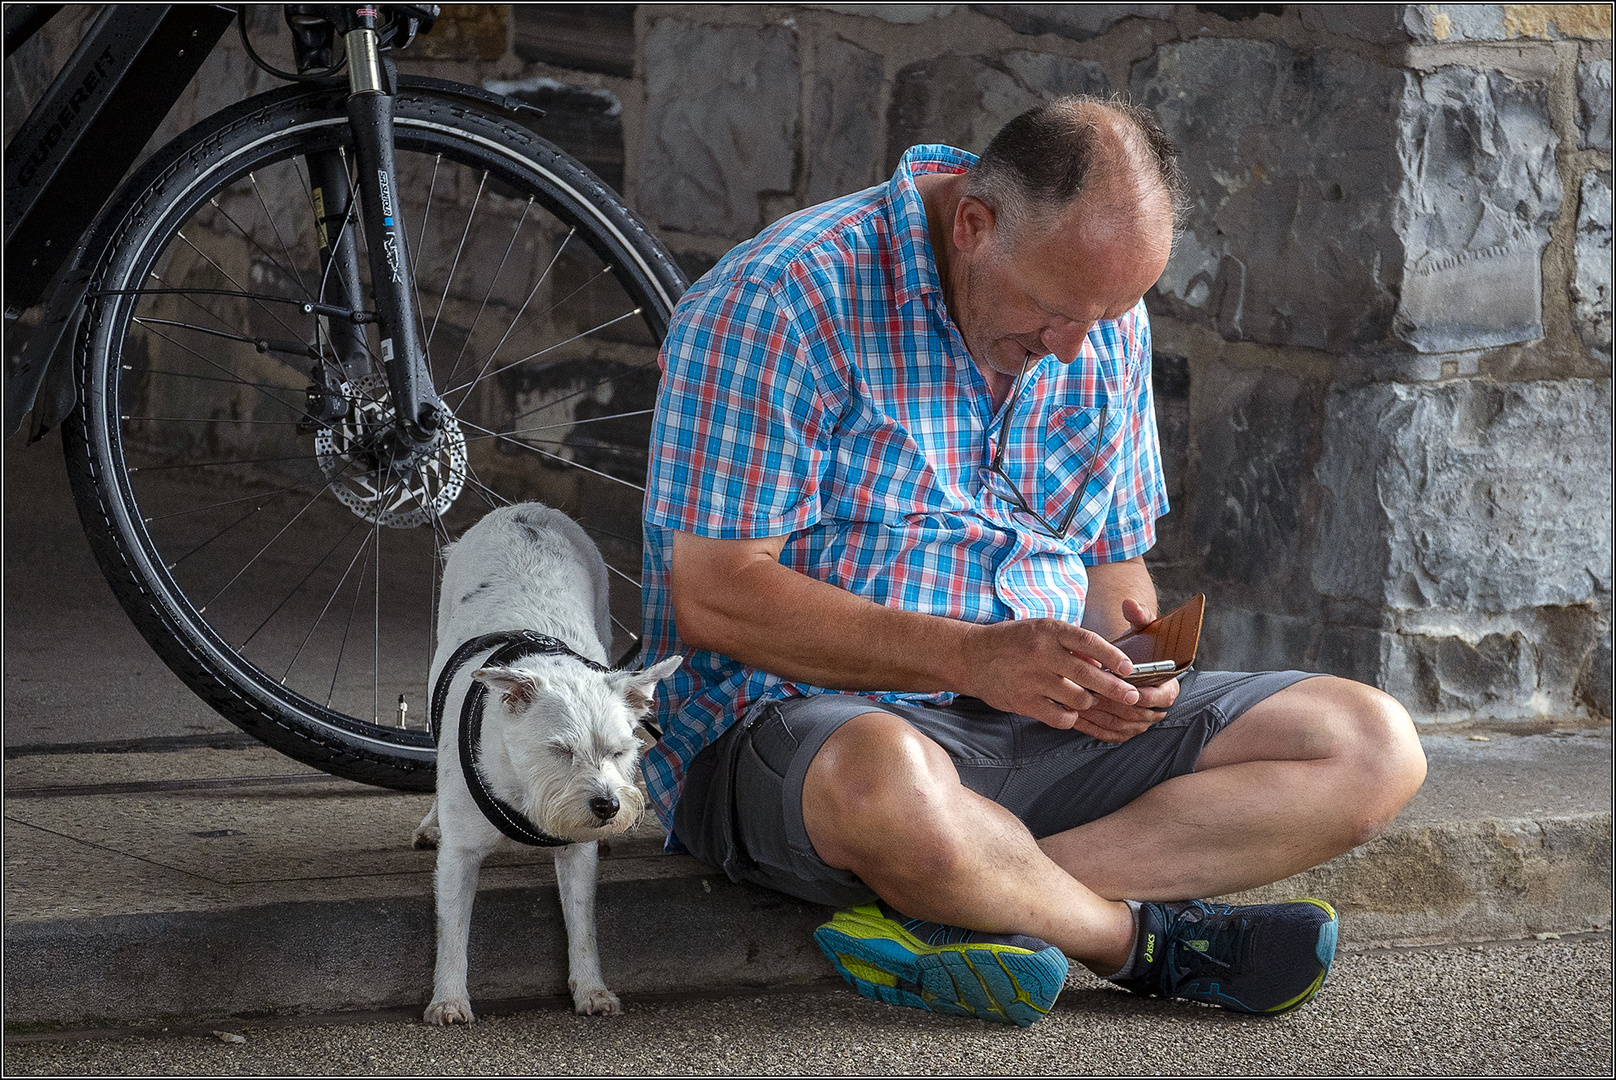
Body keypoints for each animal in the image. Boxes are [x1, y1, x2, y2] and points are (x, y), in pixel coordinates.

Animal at [416, 501, 681, 1028]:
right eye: (560, 750)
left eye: (621, 752)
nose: (607, 806)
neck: (524, 789)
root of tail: (525, 510)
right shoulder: (460, 856)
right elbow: (453, 927)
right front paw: (449, 999)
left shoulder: (578, 853)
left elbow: (582, 921)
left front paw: (592, 989)